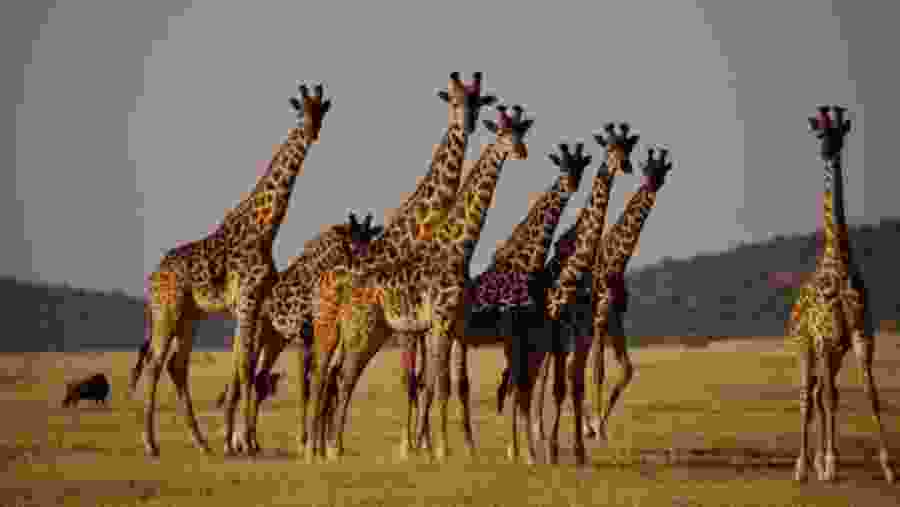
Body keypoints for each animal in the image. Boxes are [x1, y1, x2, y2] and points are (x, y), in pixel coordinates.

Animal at [140, 82, 331, 457]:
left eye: (321, 111)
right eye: (301, 110)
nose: (311, 131)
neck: (266, 228)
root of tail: (152, 277)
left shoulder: (252, 304)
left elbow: (243, 364)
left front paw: (240, 440)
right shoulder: (246, 300)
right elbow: (244, 365)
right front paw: (238, 442)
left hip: (191, 315)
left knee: (176, 365)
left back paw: (201, 443)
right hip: (166, 309)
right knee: (155, 364)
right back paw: (151, 444)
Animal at [305, 104, 534, 463]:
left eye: (521, 133)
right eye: (502, 133)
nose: (521, 151)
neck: (458, 248)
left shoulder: (454, 325)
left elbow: (442, 384)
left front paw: (439, 448)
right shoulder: (439, 322)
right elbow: (438, 384)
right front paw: (440, 449)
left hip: (374, 332)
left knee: (337, 378)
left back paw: (325, 447)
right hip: (352, 330)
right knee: (337, 378)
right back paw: (328, 448)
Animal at [787, 105, 894, 483]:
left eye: (839, 133)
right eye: (819, 133)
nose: (826, 151)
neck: (840, 262)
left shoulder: (860, 337)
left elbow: (871, 393)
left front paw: (888, 466)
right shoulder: (823, 338)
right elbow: (830, 399)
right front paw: (830, 465)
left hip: (834, 354)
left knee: (820, 393)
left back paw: (818, 462)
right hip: (805, 346)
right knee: (808, 396)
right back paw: (803, 466)